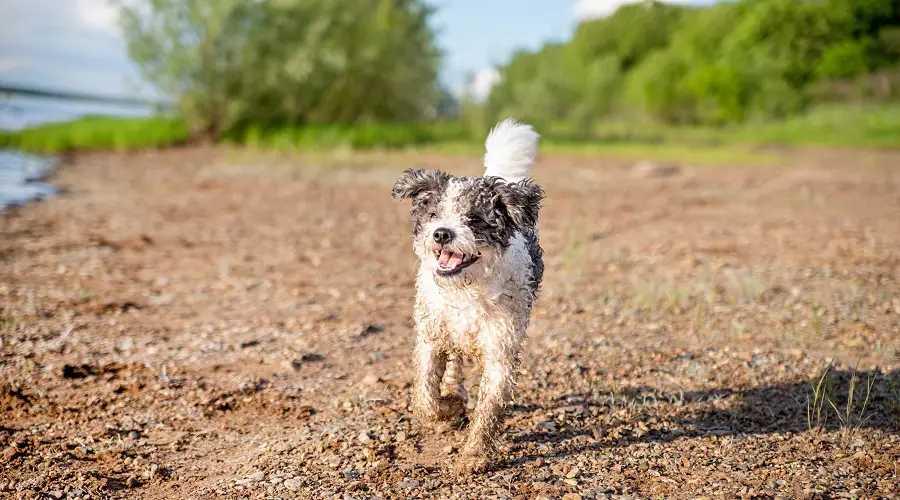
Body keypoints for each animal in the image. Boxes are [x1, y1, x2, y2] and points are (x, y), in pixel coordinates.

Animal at [386, 118, 540, 472]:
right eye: (433, 215)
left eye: (475, 219)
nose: (442, 233)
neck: (467, 290)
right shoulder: (431, 338)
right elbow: (425, 398)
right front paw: (449, 409)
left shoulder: (500, 351)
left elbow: (489, 410)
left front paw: (473, 457)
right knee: (453, 365)